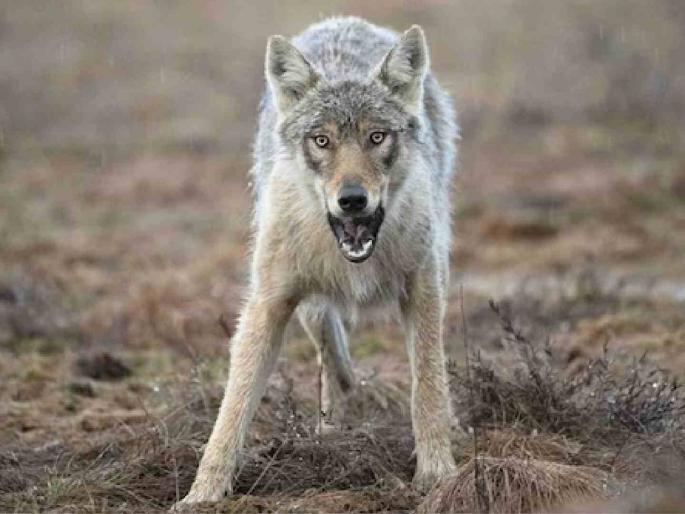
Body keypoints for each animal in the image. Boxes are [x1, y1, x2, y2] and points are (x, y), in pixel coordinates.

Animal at [179, 16, 458, 504]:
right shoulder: (268, 303)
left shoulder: (424, 287)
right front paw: (203, 495)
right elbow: (233, 406)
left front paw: (438, 475)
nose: (352, 200)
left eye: (376, 137)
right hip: (302, 303)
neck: (354, 260)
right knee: (329, 348)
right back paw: (332, 423)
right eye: (322, 141)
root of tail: (344, 21)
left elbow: (428, 385)